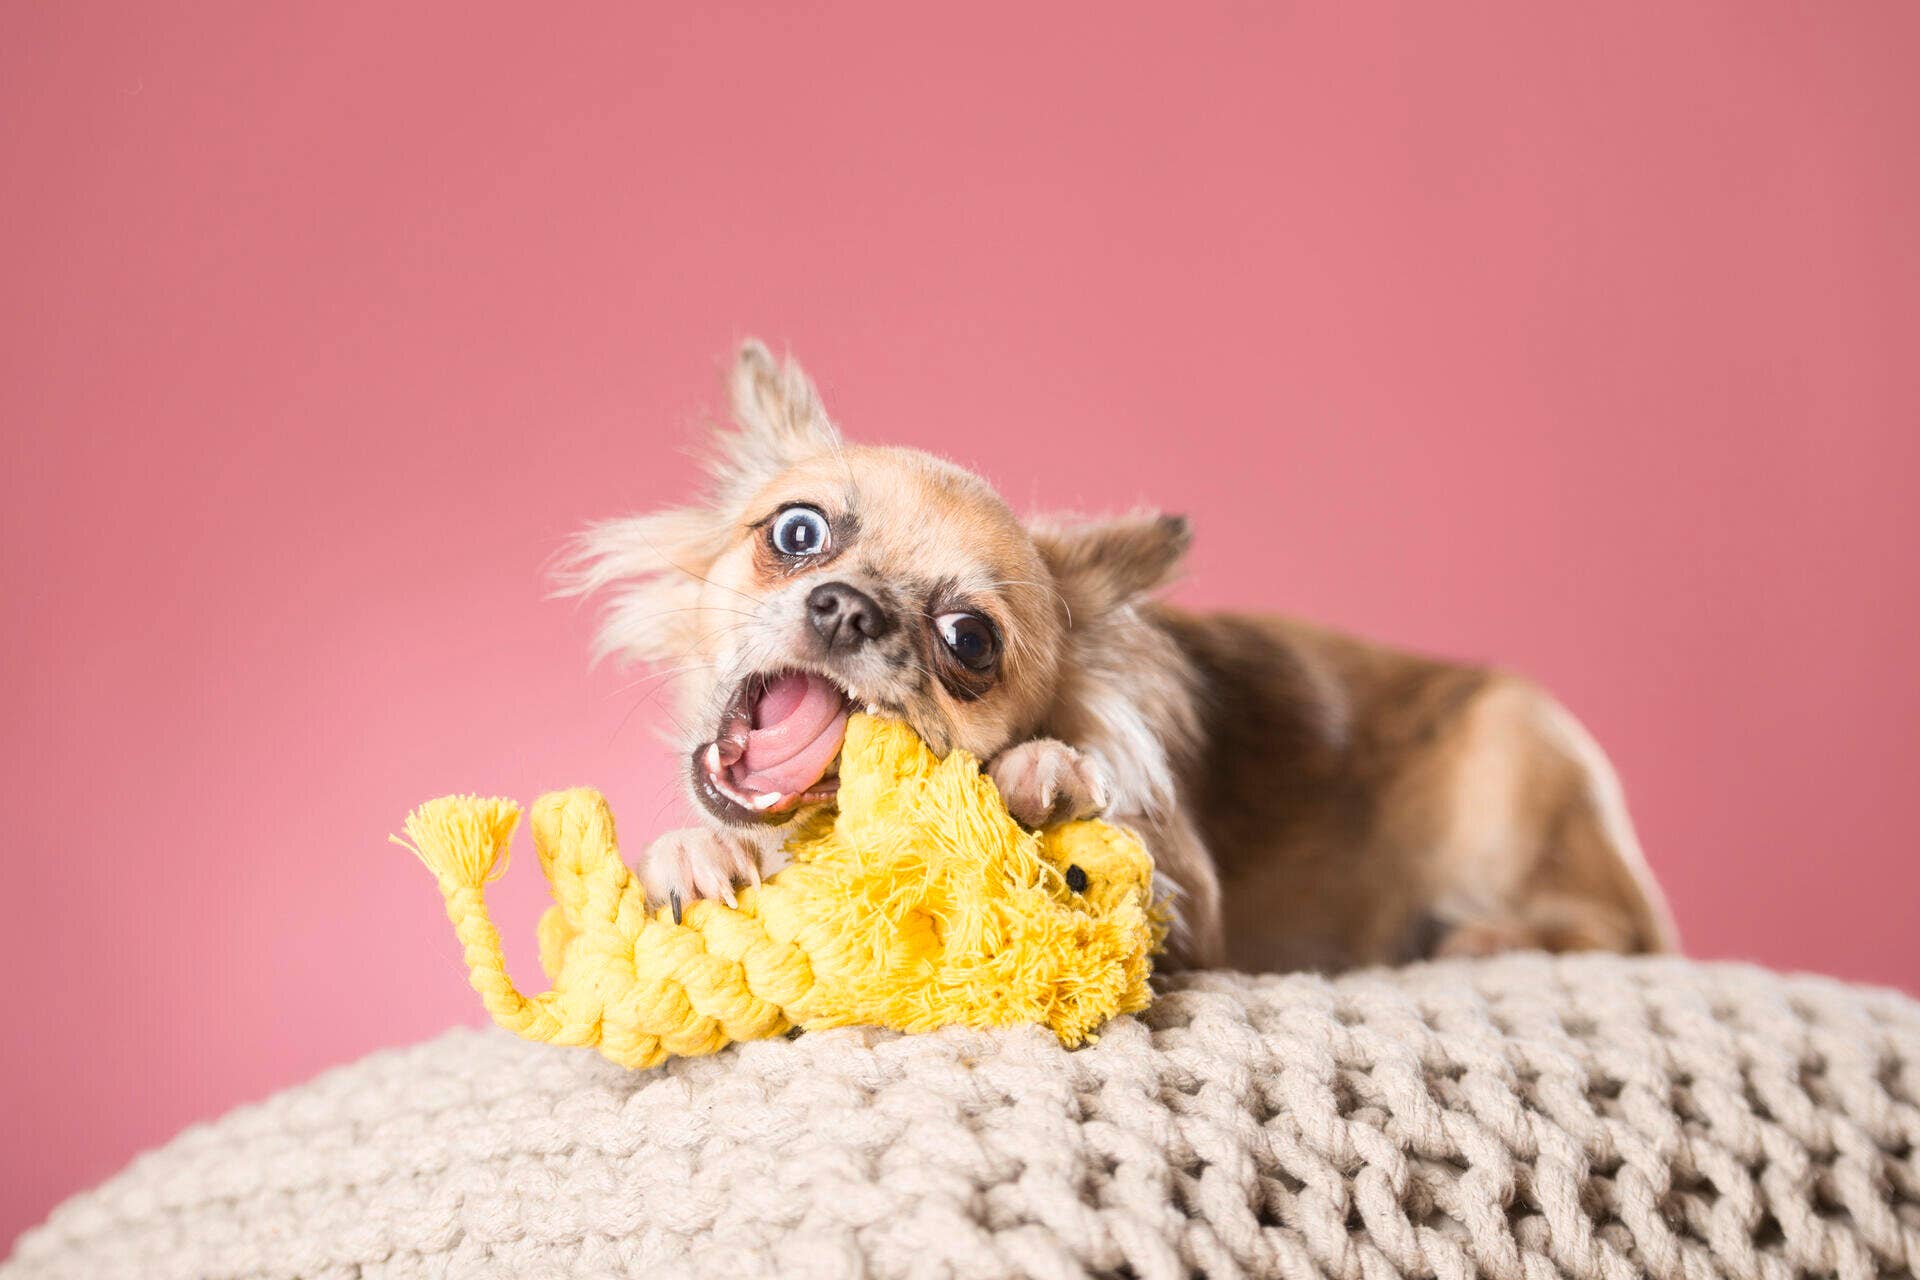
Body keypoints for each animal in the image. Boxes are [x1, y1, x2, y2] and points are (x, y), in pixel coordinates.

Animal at [560, 339, 1674, 971]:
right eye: (797, 534)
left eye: (969, 640)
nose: (845, 609)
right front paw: (696, 854)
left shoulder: (1188, 909)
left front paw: (1040, 778)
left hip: (1519, 762)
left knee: (1619, 930)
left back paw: (1485, 938)